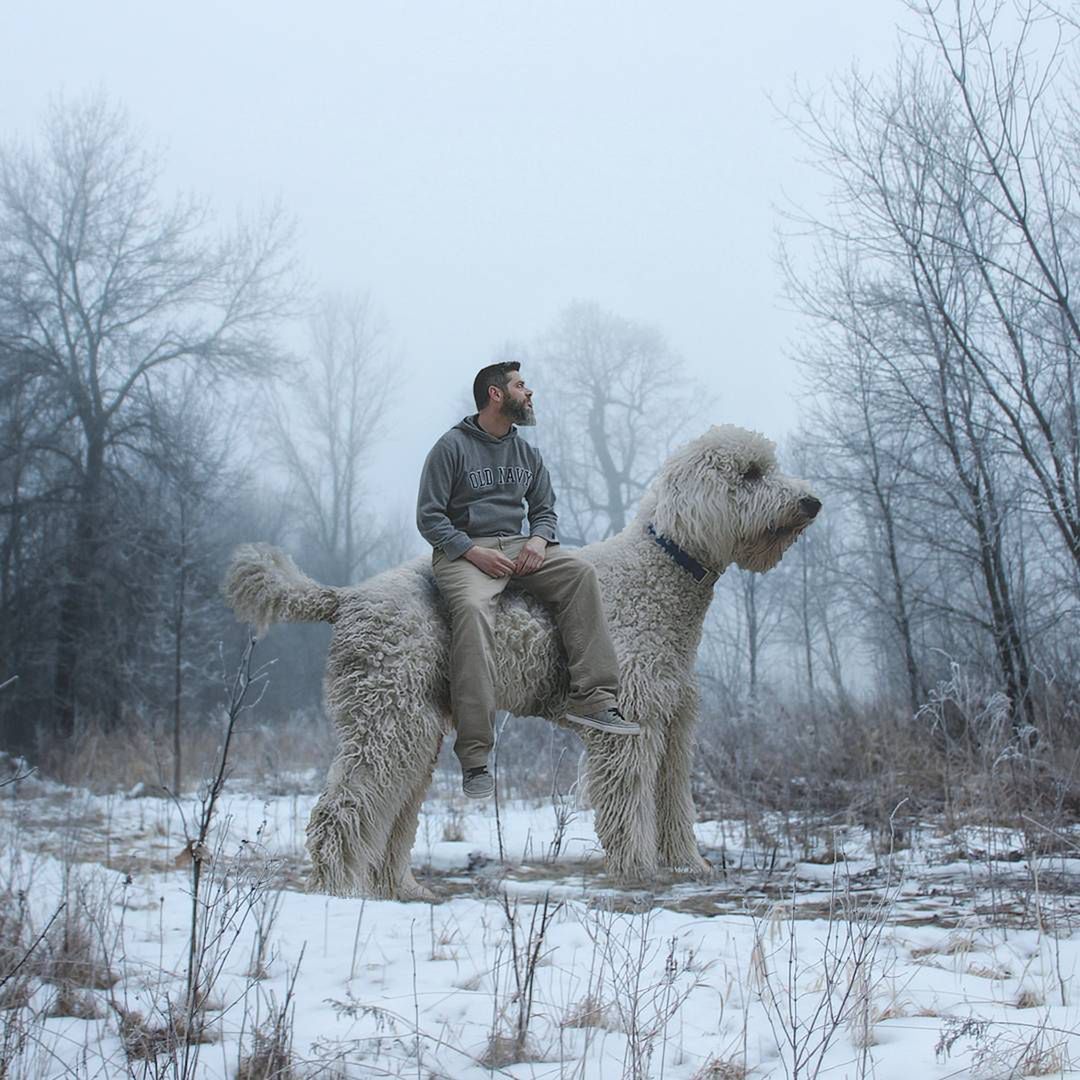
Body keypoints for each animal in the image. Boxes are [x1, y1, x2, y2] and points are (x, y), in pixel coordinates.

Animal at [225, 425, 816, 898]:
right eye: (749, 474)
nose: (812, 503)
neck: (657, 578)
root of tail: (345, 597)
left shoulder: (672, 722)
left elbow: (674, 801)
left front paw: (688, 867)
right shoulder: (630, 727)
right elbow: (629, 804)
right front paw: (639, 872)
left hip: (412, 729)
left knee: (392, 815)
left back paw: (401, 889)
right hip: (387, 719)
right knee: (341, 809)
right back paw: (336, 891)